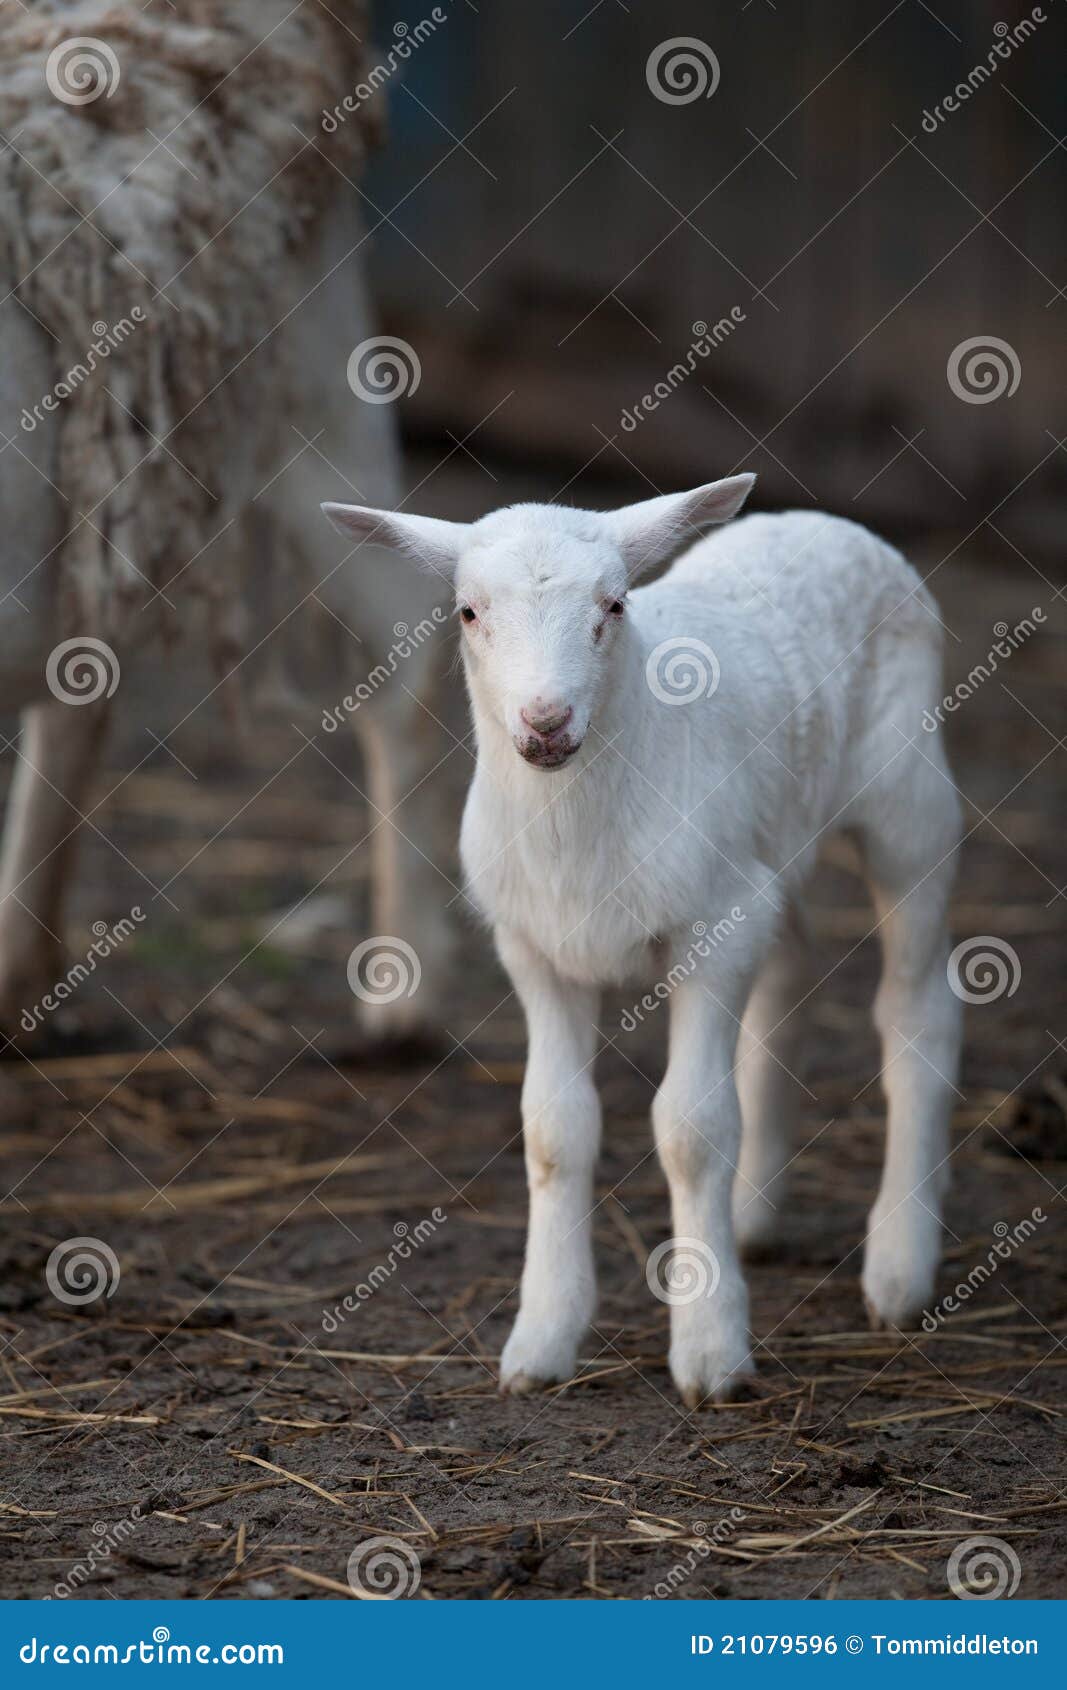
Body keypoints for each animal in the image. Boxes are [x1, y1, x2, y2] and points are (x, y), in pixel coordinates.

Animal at [322, 483, 960, 1406]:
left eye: (614, 606)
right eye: (468, 611)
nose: (545, 722)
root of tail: (824, 521)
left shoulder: (710, 931)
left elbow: (690, 1130)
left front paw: (709, 1354)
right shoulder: (534, 948)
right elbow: (554, 1131)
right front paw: (541, 1341)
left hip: (910, 806)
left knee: (916, 1013)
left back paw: (899, 1267)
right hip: (767, 852)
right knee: (789, 970)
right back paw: (754, 1213)